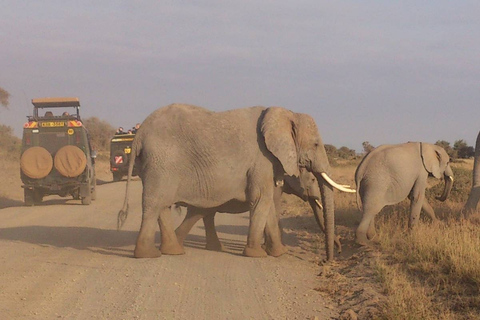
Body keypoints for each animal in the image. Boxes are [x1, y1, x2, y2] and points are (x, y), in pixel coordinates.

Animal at [174, 168, 344, 255]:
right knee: (198, 213)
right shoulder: (275, 187)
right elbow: (274, 210)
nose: (339, 250)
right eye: (313, 180)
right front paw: (274, 248)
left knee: (205, 214)